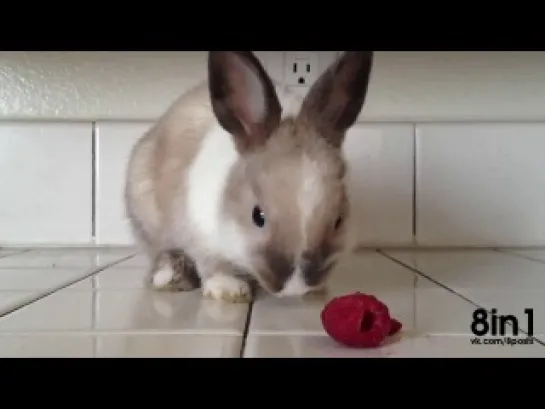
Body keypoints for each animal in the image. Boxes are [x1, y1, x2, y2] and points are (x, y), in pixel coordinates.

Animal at [125, 50, 374, 302]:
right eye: (257, 216)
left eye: (339, 220)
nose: (295, 288)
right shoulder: (199, 233)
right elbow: (213, 265)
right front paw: (228, 289)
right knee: (162, 253)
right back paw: (170, 278)